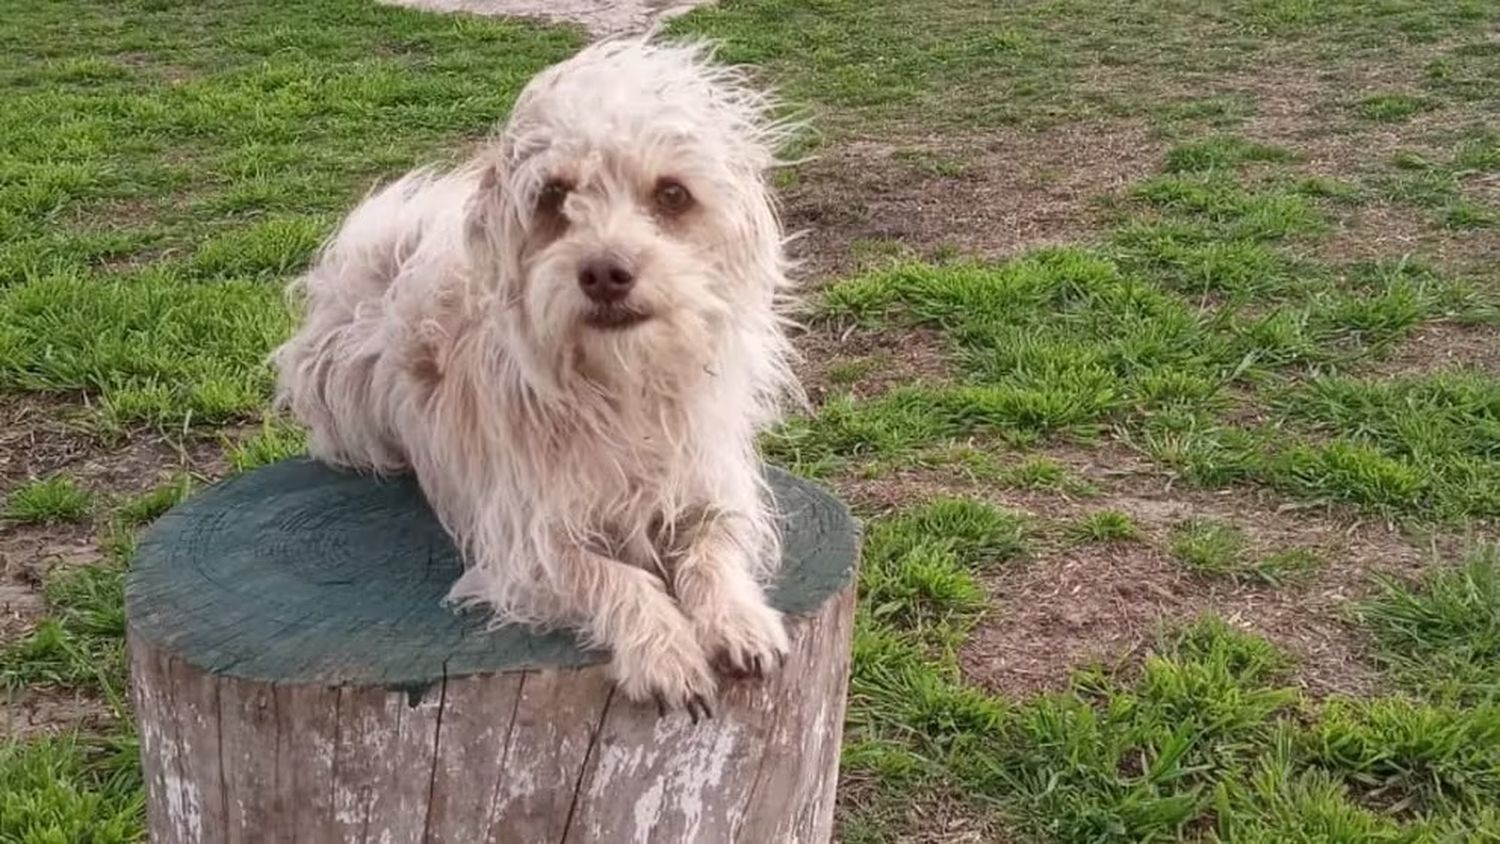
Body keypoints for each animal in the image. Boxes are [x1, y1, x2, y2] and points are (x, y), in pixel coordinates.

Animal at [274, 36, 804, 716]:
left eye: (672, 195)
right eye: (554, 195)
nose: (605, 272)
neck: (621, 382)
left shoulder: (711, 487)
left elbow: (714, 549)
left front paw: (738, 618)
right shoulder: (527, 545)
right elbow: (616, 577)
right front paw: (663, 651)